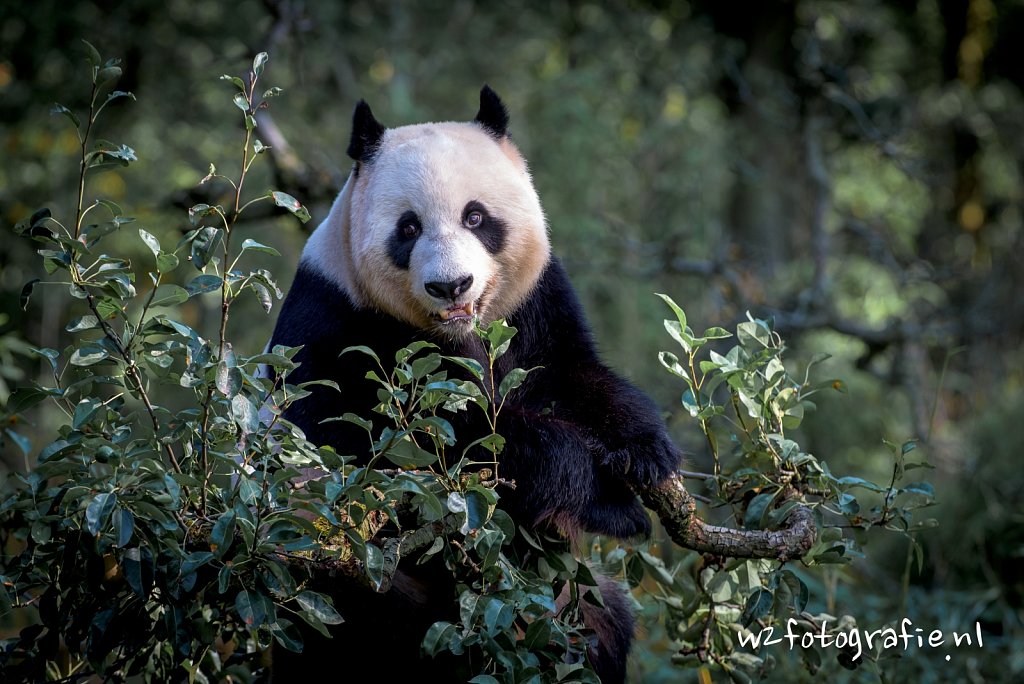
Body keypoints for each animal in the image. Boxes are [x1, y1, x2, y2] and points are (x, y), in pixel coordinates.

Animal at [270, 87, 679, 684]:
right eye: (408, 227)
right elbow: (388, 450)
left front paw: (643, 449)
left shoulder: (533, 301)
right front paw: (605, 494)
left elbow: (565, 375)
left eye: (476, 216)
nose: (451, 285)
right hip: (365, 596)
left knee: (605, 622)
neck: (455, 330)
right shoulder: (338, 321)